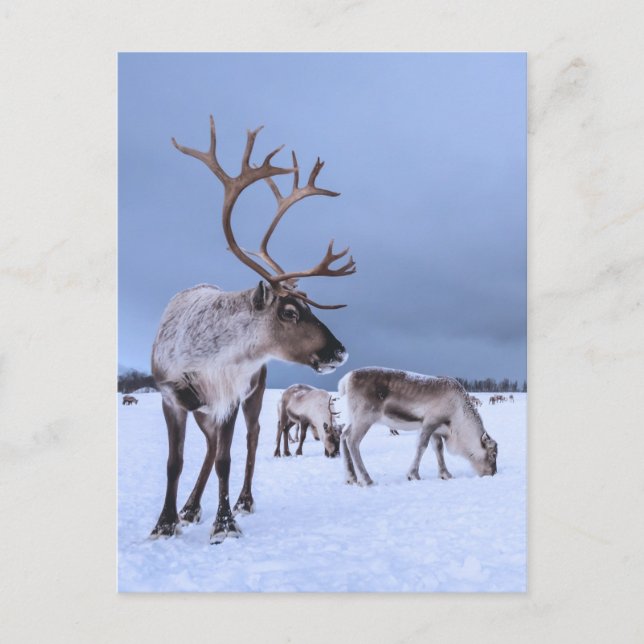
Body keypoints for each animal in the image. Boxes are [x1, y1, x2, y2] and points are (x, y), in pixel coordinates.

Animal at [149, 116, 356, 544]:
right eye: (290, 311)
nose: (340, 351)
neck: (205, 357)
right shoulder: (171, 397)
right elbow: (174, 462)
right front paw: (165, 522)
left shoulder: (229, 398)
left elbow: (227, 459)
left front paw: (225, 523)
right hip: (205, 408)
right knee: (210, 448)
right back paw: (190, 507)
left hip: (253, 394)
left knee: (249, 440)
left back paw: (239, 501)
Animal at [338, 367, 497, 486]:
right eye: (493, 454)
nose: (493, 473)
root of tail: (347, 379)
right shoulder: (429, 422)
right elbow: (422, 446)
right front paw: (413, 475)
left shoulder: (437, 429)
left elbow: (438, 448)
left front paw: (445, 474)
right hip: (364, 417)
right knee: (352, 440)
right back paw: (366, 479)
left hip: (353, 418)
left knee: (343, 434)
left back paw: (350, 478)